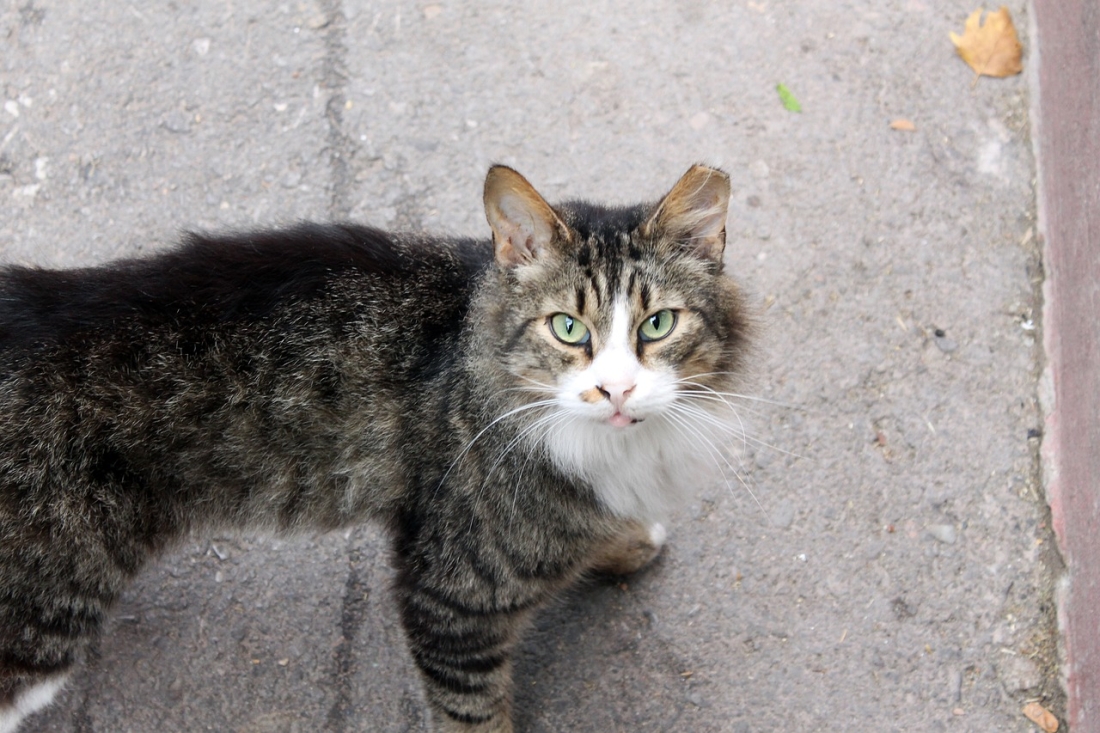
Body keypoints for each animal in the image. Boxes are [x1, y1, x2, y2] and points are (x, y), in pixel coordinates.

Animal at [0, 165, 752, 730]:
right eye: (568, 327)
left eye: (658, 324)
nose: (617, 389)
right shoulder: (451, 600)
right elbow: (475, 713)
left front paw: (622, 542)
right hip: (41, 624)